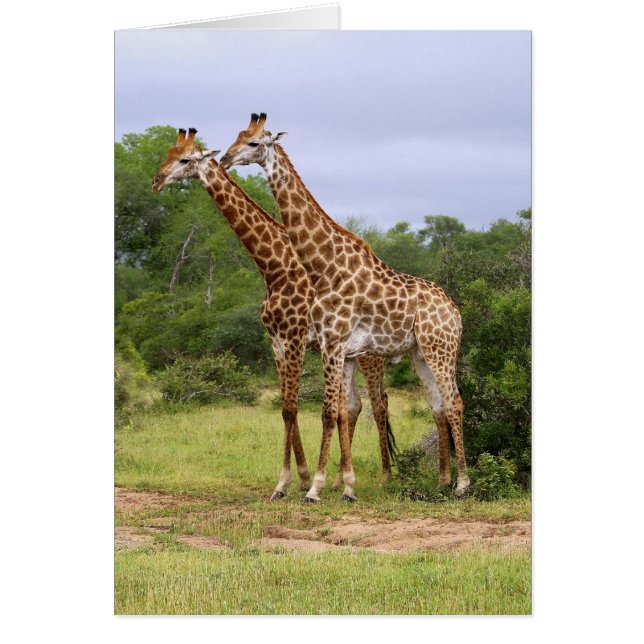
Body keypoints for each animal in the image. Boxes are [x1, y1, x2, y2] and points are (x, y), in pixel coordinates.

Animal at [152, 128, 396, 501]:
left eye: (184, 159)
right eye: (167, 155)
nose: (156, 180)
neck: (274, 266)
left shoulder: (295, 337)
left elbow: (293, 407)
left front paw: (299, 481)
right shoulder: (277, 341)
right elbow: (286, 408)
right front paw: (299, 480)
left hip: (370, 356)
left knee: (379, 403)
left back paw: (383, 477)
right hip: (348, 356)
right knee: (352, 406)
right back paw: (340, 481)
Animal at [221, 113, 470, 501]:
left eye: (254, 142)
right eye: (237, 136)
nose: (225, 158)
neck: (324, 266)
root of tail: (455, 311)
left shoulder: (329, 342)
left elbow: (325, 411)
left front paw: (314, 488)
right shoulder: (328, 344)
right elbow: (332, 410)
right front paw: (335, 485)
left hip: (438, 349)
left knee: (452, 402)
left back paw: (460, 484)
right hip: (420, 353)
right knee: (439, 405)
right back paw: (443, 481)